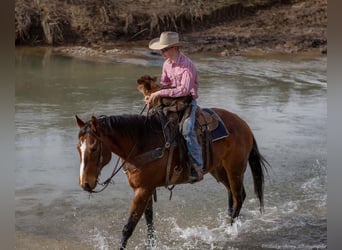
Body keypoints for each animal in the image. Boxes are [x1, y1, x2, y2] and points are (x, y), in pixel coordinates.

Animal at [75, 77, 270, 249]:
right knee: (231, 194)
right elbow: (149, 222)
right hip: (219, 168)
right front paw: (151, 245)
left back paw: (230, 232)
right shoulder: (147, 189)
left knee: (239, 196)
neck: (141, 142)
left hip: (235, 169)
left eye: (94, 148)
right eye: (78, 147)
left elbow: (128, 228)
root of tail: (244, 125)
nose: (85, 184)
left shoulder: (143, 190)